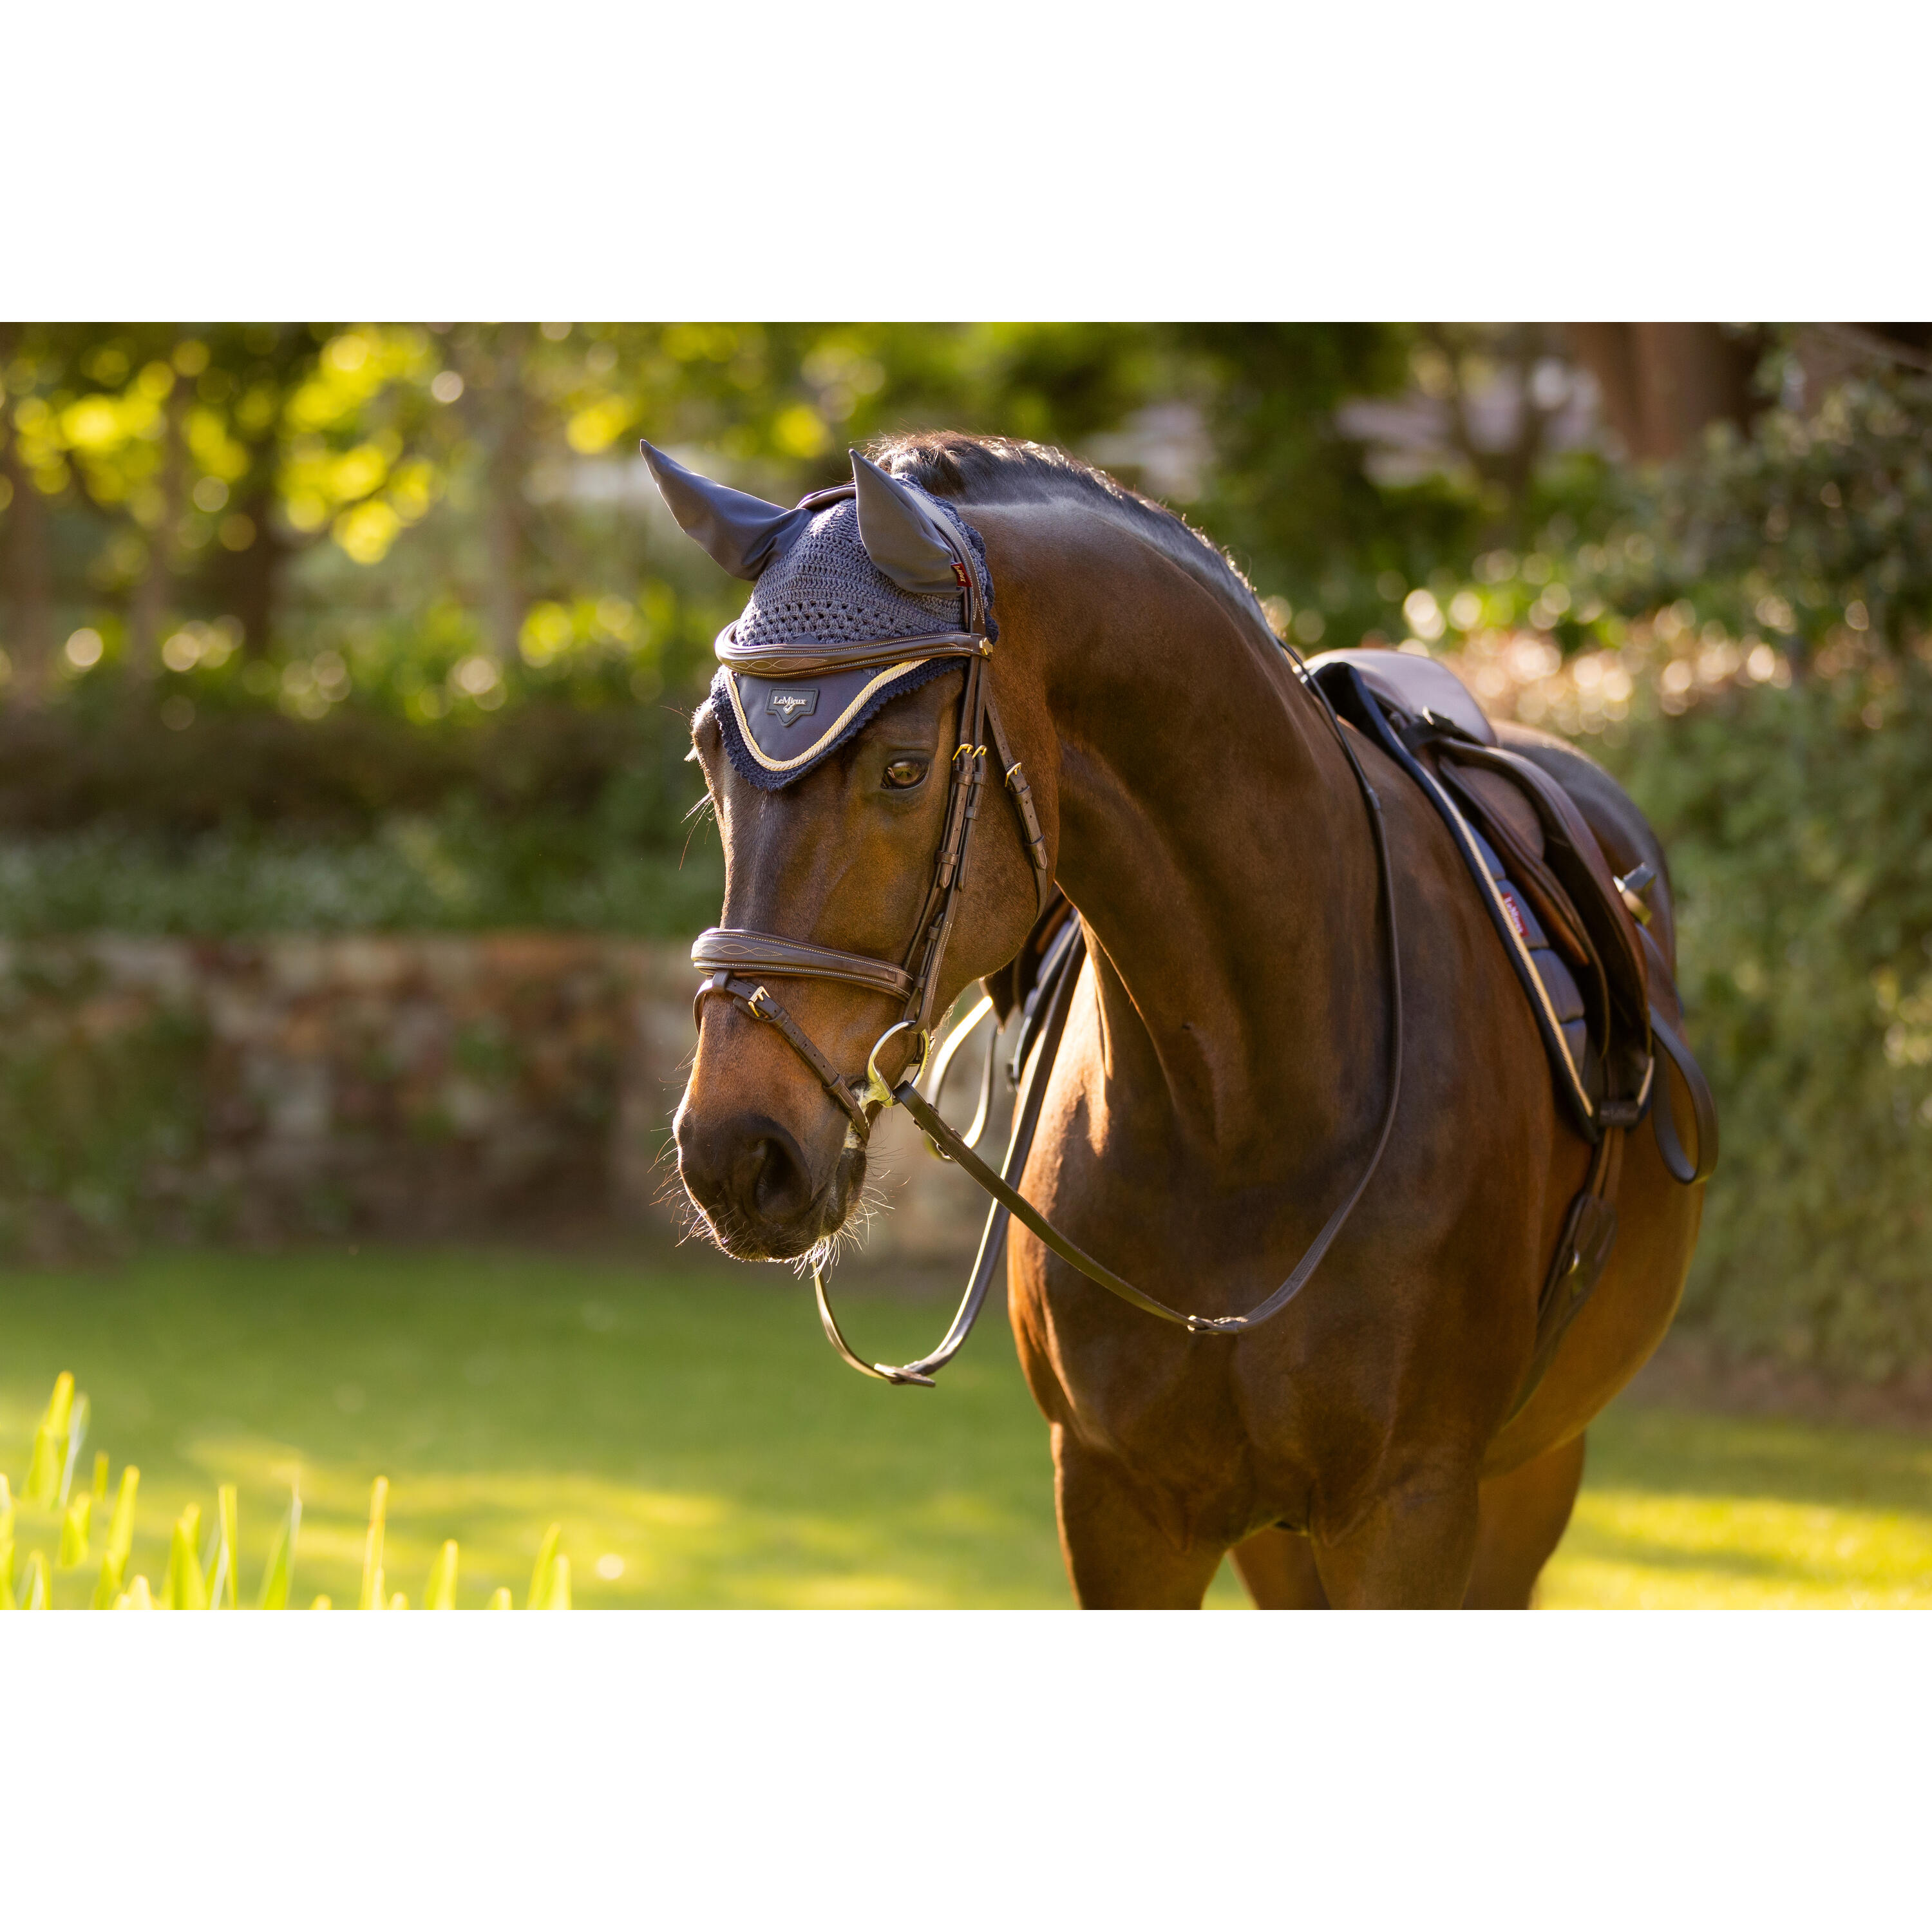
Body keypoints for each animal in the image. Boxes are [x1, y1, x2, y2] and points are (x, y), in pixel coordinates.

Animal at [664, 430, 1707, 1609]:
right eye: (709, 756)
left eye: (903, 769)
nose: (734, 1152)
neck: (1247, 1108)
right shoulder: (1120, 1507)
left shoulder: (1413, 1510)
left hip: (1532, 1474)